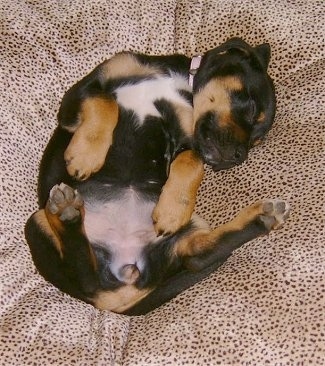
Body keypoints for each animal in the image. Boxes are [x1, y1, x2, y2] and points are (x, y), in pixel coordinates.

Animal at [24, 38, 286, 316]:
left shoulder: (188, 139)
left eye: (256, 141)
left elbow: (192, 161)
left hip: (184, 233)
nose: (239, 156)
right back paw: (68, 211)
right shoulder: (79, 94)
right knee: (89, 279)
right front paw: (86, 154)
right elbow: (105, 102)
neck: (178, 82)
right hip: (36, 223)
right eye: (251, 108)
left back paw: (262, 217)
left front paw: (173, 210)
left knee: (194, 256)